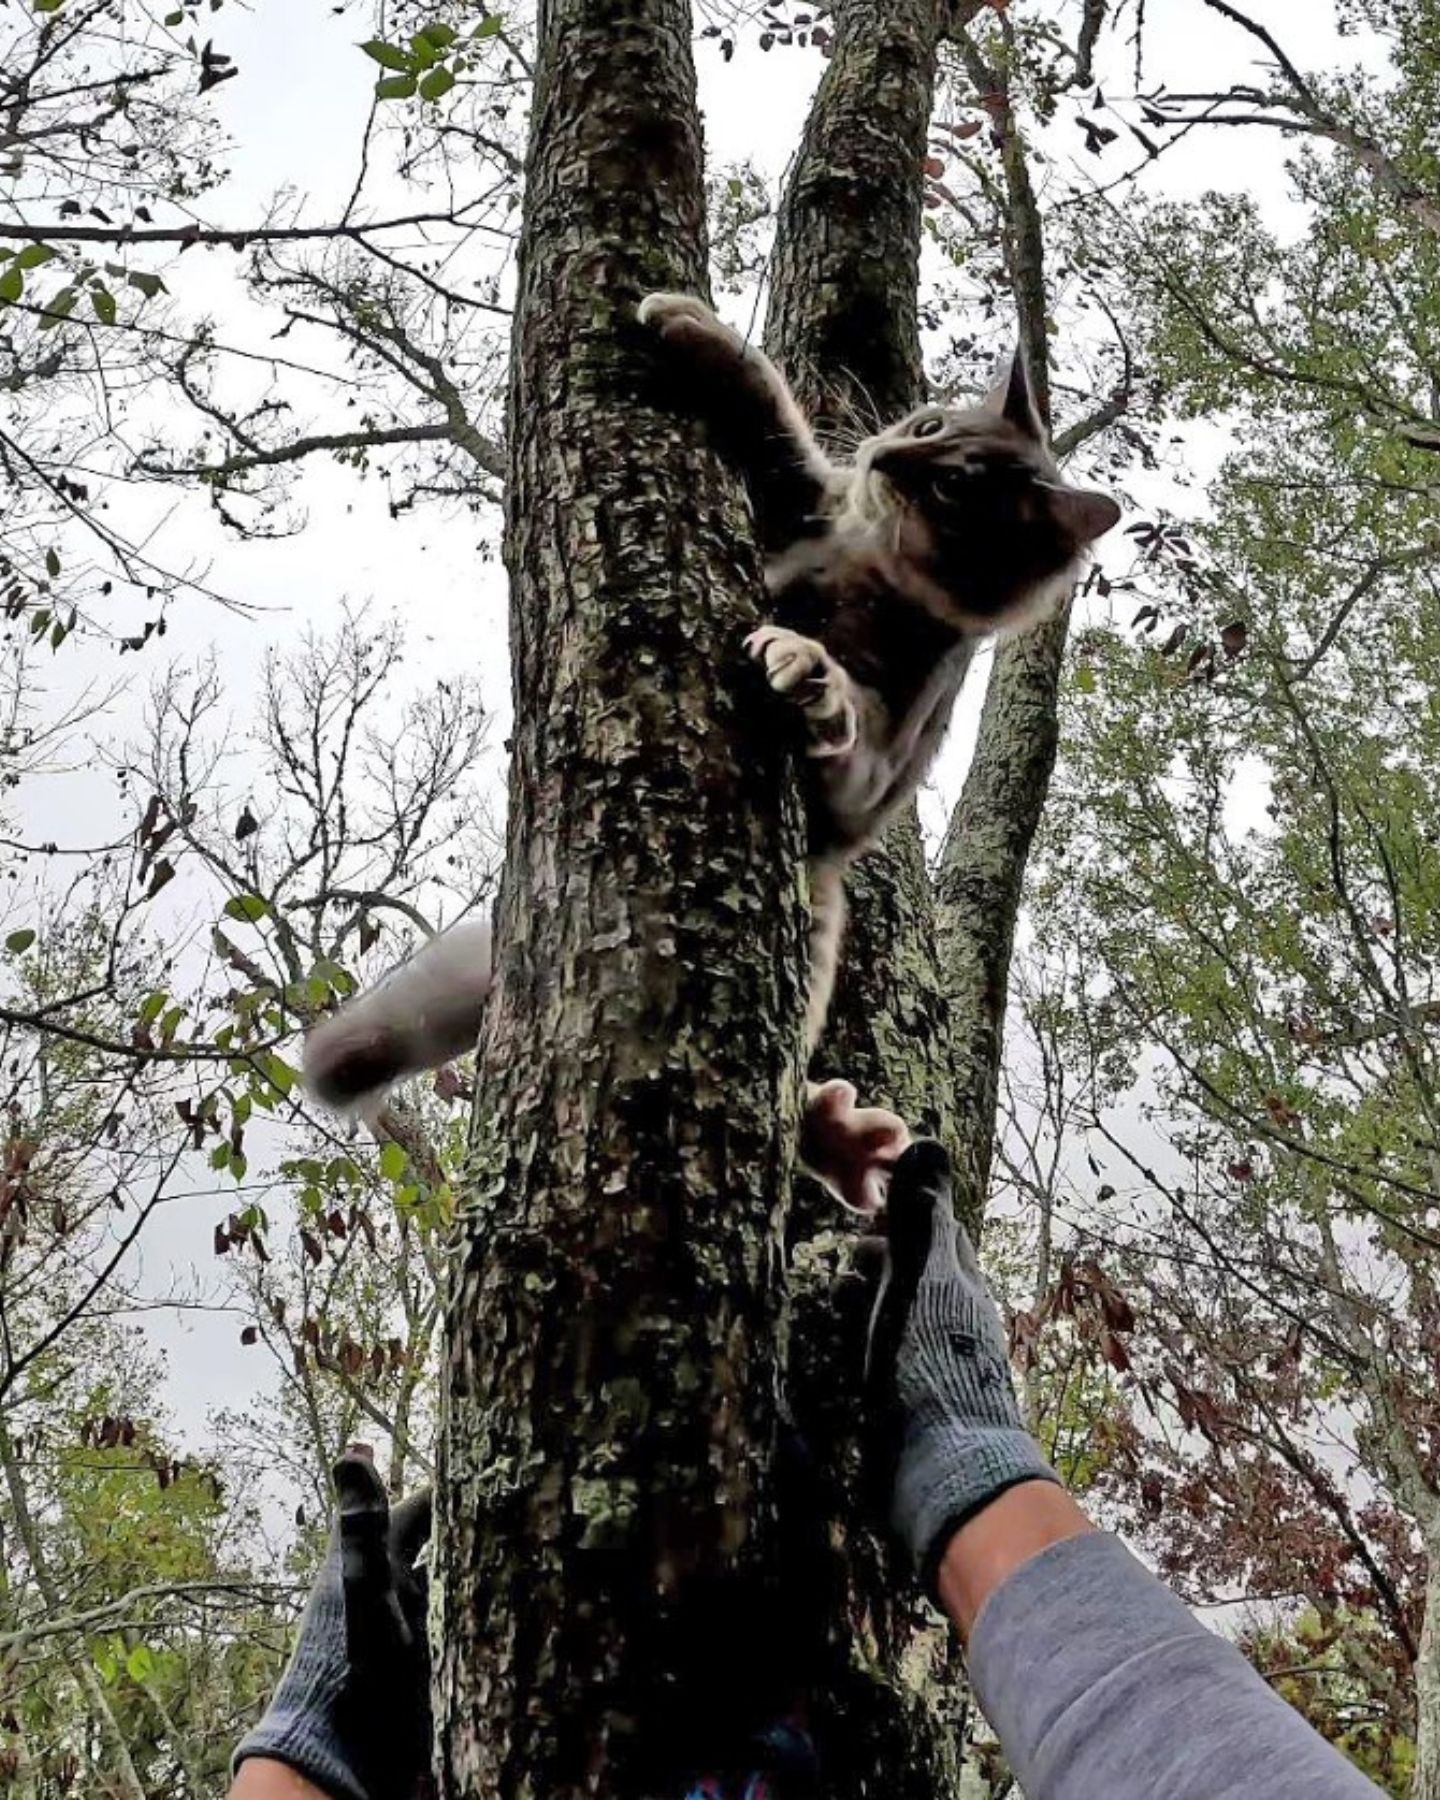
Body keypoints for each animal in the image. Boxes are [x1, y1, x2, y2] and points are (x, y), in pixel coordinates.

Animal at [298, 295, 1116, 1209]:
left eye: (953, 486)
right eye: (928, 423)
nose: (890, 454)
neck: (871, 570)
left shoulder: (884, 755)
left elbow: (851, 725)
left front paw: (811, 674)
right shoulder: (807, 509)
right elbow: (781, 432)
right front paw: (703, 334)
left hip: (814, 925)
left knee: (786, 1081)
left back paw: (841, 1141)